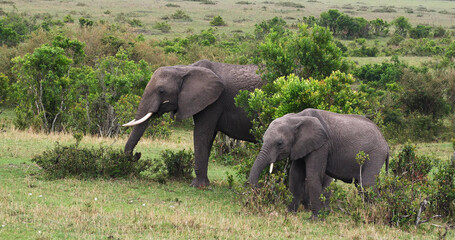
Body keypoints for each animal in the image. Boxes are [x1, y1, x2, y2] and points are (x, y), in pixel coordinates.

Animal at [124, 60, 264, 188]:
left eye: (161, 91)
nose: (138, 154)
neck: (185, 68)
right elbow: (208, 138)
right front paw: (204, 184)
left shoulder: (213, 102)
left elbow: (202, 134)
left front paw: (197, 186)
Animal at [248, 109, 390, 219]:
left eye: (280, 143)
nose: (260, 189)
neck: (297, 117)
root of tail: (386, 143)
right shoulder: (301, 145)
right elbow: (295, 176)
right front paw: (289, 214)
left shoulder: (322, 145)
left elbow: (313, 176)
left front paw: (314, 219)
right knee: (361, 185)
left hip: (375, 154)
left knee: (367, 185)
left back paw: (375, 215)